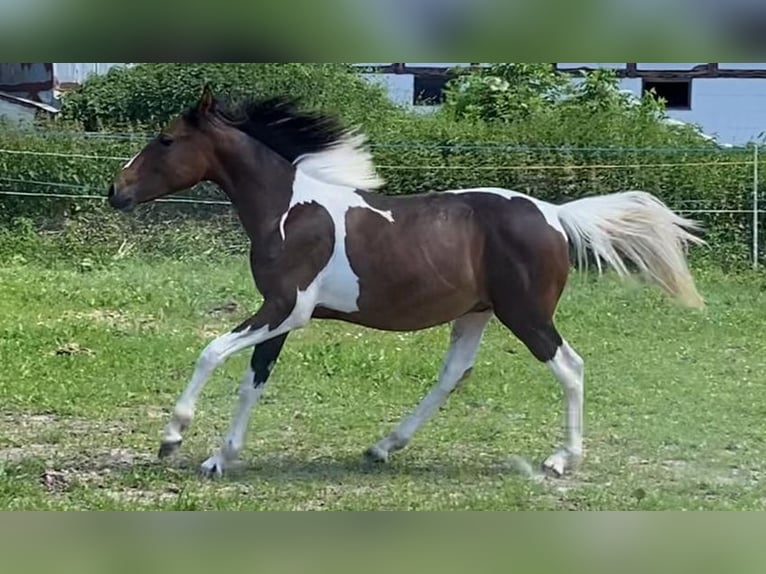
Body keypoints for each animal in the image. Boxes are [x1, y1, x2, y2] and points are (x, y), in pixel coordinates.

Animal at [108, 86, 708, 482]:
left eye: (165, 139)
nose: (117, 191)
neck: (291, 210)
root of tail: (555, 215)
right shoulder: (281, 314)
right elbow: (253, 381)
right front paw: (218, 458)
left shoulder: (284, 308)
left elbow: (211, 352)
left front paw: (172, 439)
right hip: (476, 313)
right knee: (453, 374)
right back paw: (381, 448)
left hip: (526, 314)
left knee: (569, 366)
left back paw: (562, 460)